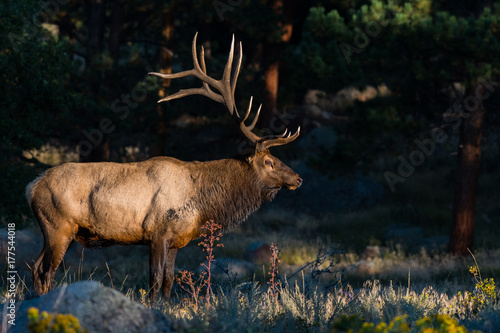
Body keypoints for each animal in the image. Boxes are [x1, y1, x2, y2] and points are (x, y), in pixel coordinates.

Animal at [26, 33, 300, 298]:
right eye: (269, 162)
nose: (298, 178)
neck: (202, 202)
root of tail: (31, 187)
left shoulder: (177, 240)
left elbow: (169, 281)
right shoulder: (158, 233)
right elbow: (155, 280)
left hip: (54, 230)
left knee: (35, 266)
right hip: (59, 226)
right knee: (45, 271)